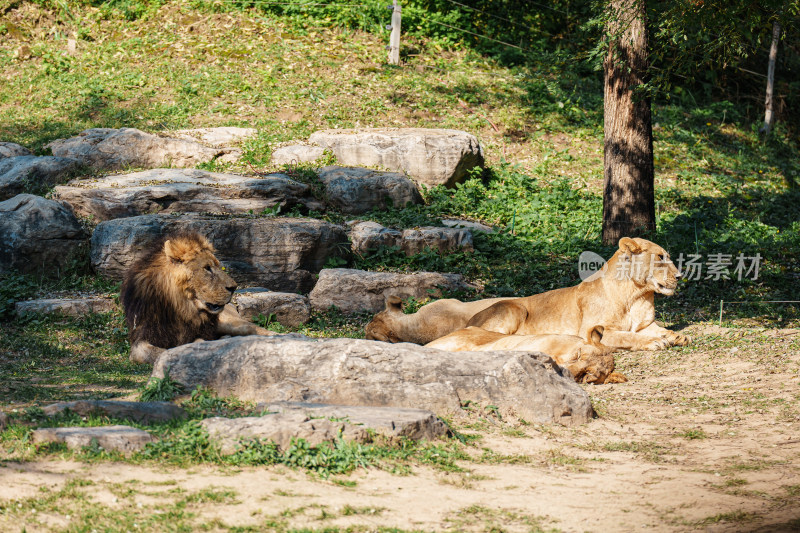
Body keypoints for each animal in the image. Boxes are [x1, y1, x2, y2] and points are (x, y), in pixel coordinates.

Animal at [121, 231, 276, 364]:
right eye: (207, 268)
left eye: (218, 266)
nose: (233, 287)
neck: (182, 307)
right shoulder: (142, 335)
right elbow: (149, 352)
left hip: (228, 321)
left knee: (252, 328)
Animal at [466, 237, 692, 350]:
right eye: (660, 257)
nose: (680, 276)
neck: (636, 294)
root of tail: (469, 319)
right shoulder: (593, 330)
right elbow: (627, 336)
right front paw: (654, 342)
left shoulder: (645, 324)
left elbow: (658, 329)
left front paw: (677, 336)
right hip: (514, 307)